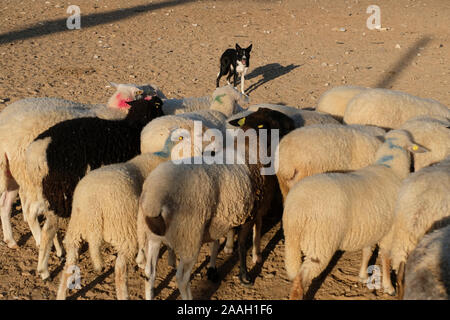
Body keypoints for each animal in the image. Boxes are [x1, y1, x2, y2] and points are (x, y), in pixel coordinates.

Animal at [0, 82, 158, 248]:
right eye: (142, 92)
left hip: (13, 174)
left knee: (5, 203)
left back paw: (11, 240)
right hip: (29, 178)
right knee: (28, 208)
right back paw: (39, 240)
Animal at [22, 96, 163, 278]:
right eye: (159, 107)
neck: (133, 126)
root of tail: (37, 154)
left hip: (42, 191)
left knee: (32, 213)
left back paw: (56, 251)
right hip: (60, 192)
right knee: (48, 229)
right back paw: (44, 270)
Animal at [284, 129, 428, 298]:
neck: (390, 167)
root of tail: (296, 208)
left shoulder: (372, 226)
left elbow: (367, 251)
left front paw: (363, 276)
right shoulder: (389, 230)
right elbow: (385, 257)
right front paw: (388, 286)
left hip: (292, 240)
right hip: (320, 243)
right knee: (300, 281)